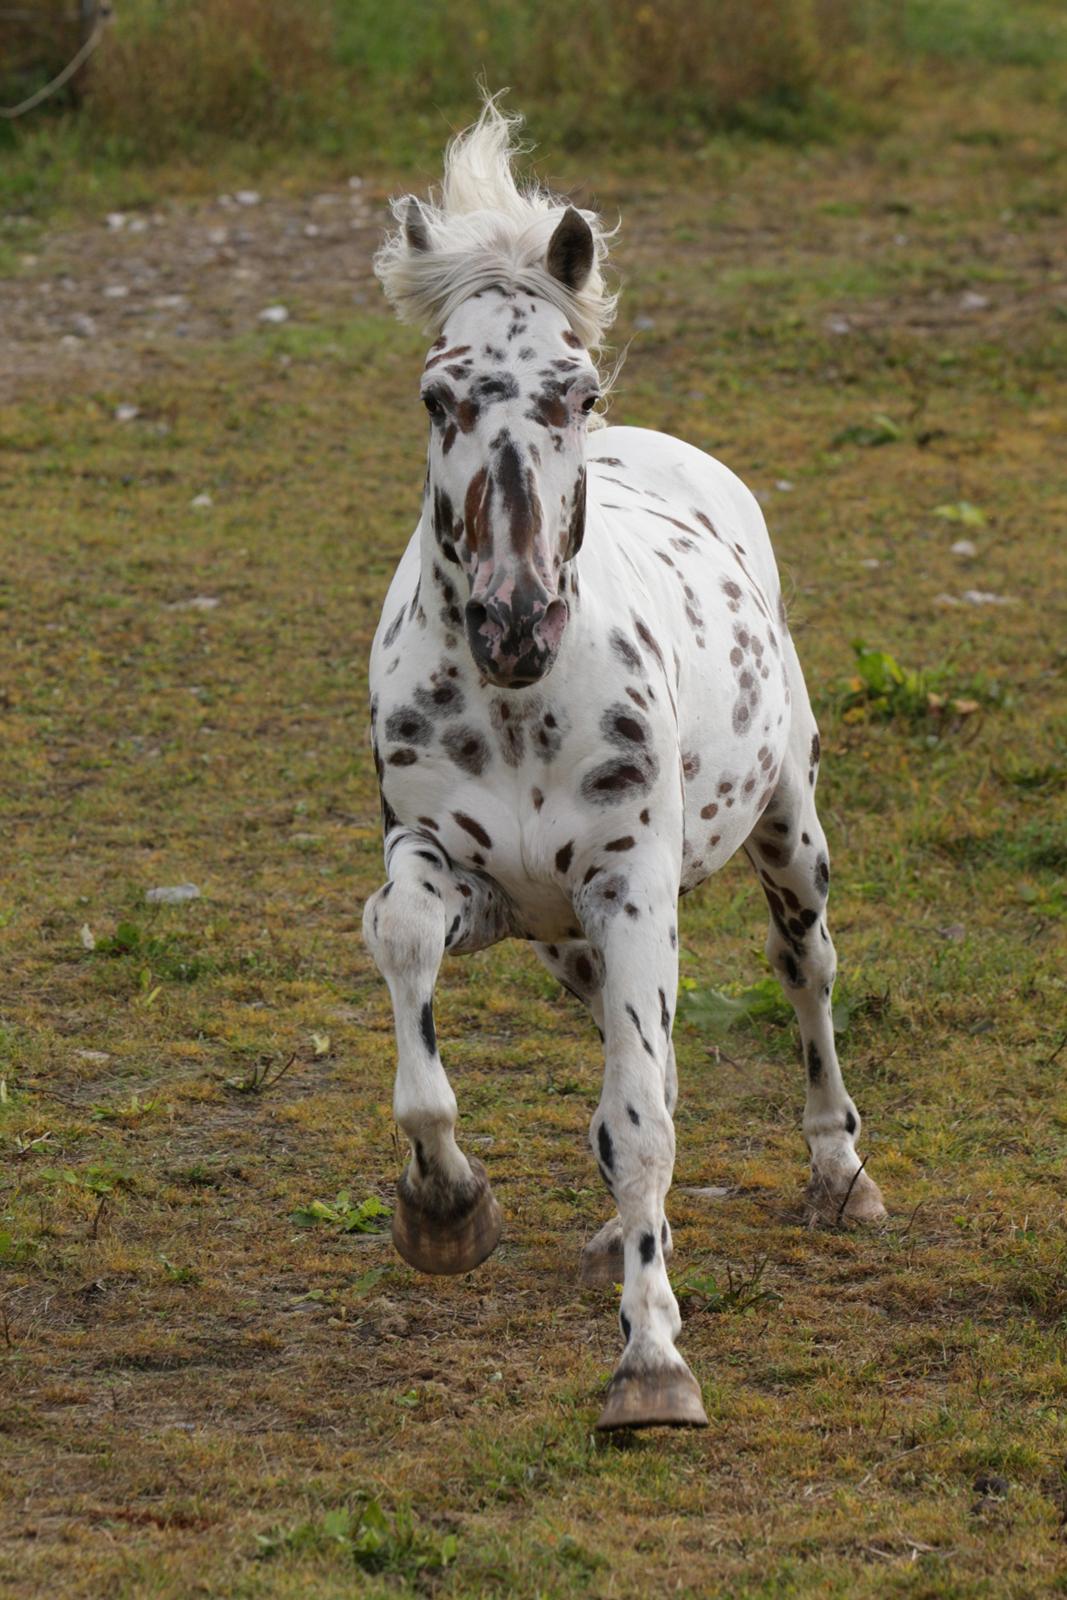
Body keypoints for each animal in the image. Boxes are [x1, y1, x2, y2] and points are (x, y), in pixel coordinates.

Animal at [363, 96, 889, 1427]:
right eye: (437, 397)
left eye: (575, 390)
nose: (511, 621)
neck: (517, 708)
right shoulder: (459, 875)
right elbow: (406, 955)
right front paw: (445, 1208)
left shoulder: (633, 884)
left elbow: (643, 1120)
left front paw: (651, 1364)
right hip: (565, 935)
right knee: (612, 1028)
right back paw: (611, 1232)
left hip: (787, 833)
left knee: (804, 970)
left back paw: (838, 1173)